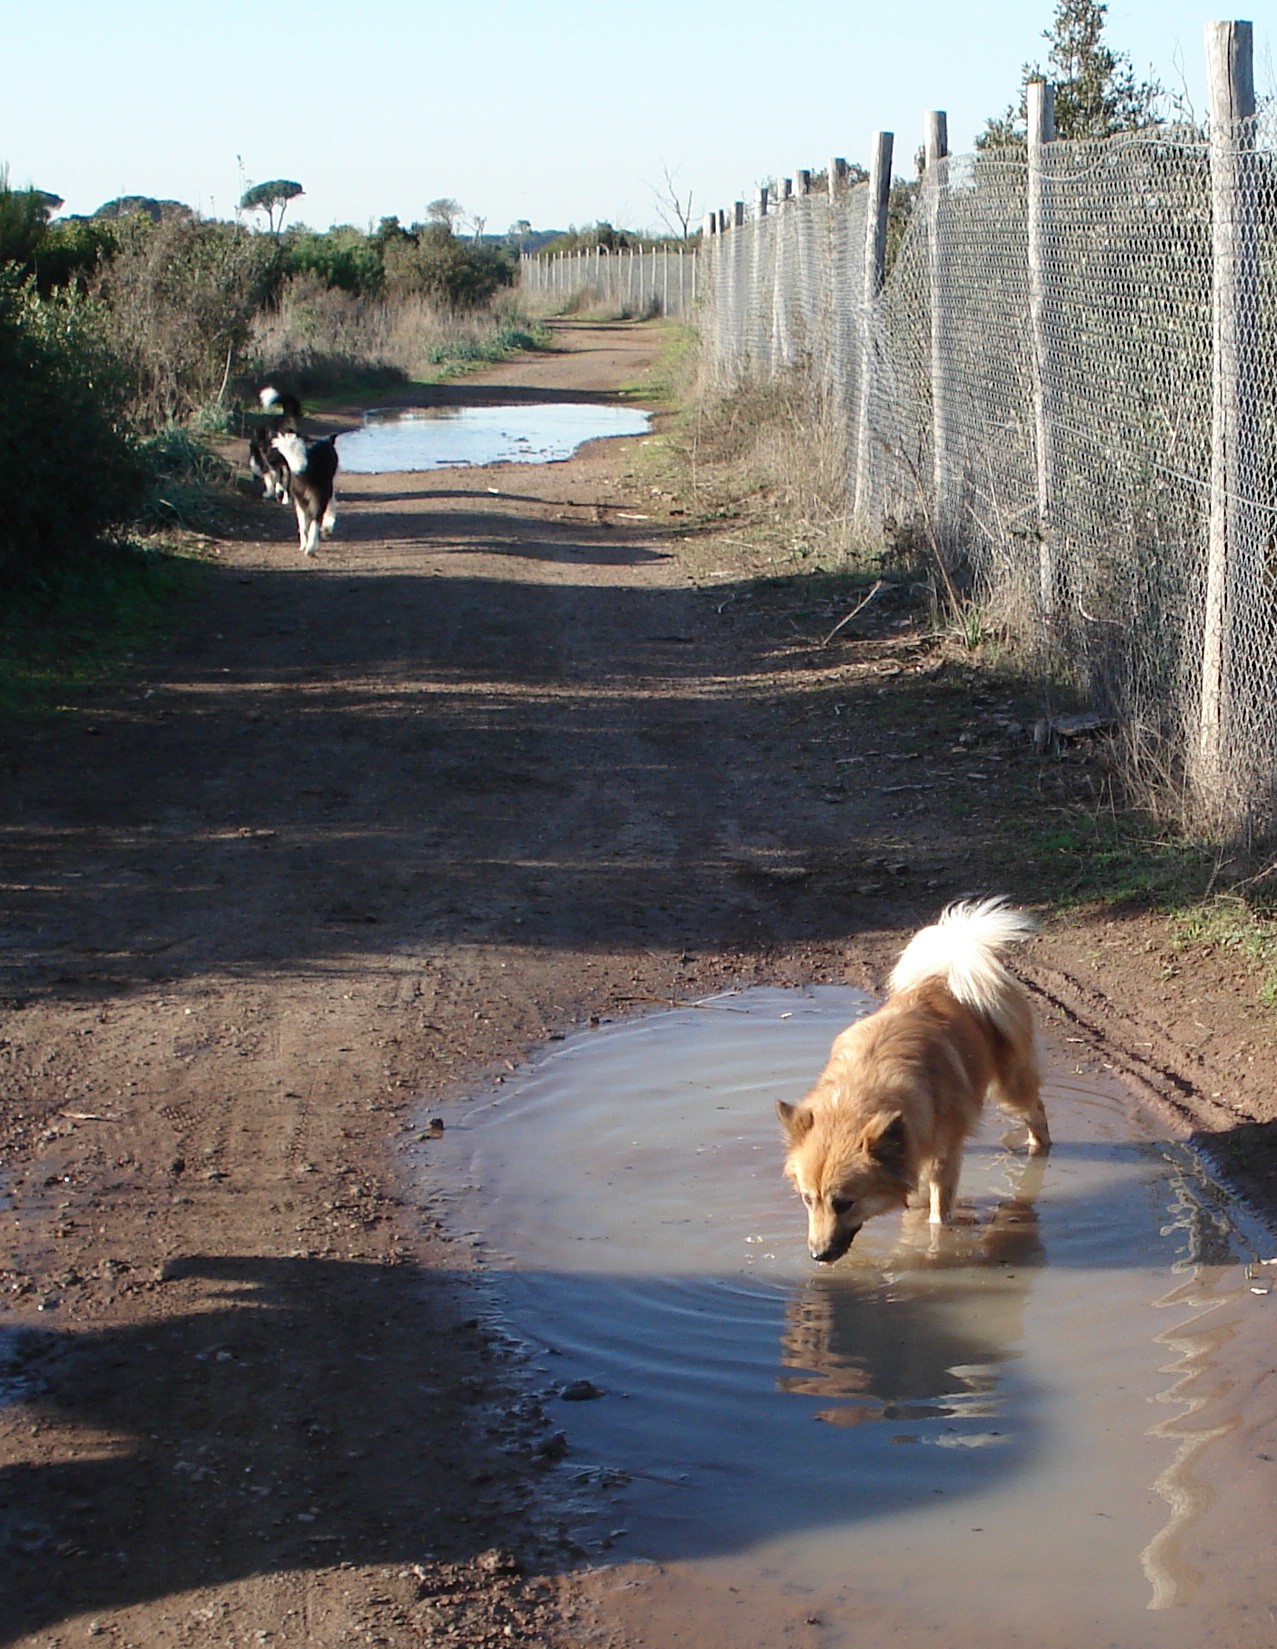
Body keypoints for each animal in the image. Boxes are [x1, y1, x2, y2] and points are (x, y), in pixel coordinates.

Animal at [777, 898, 1050, 1264]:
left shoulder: (942, 1155)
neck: (860, 1091)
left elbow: (939, 1211)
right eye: (808, 1199)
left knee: (1036, 1109)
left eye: (844, 1203)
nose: (818, 1256)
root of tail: (952, 964)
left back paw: (1039, 1147)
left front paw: (935, 1244)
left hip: (1011, 1085)